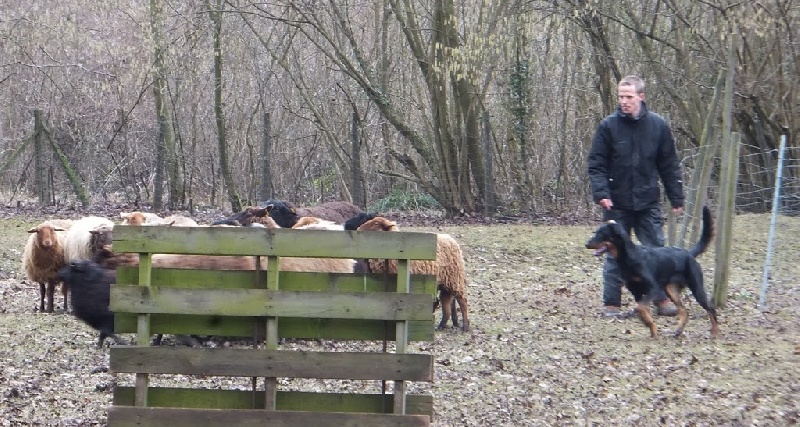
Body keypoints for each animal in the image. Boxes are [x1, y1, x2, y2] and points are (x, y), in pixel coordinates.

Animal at [584, 206, 720, 340]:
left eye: (602, 234)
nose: (586, 244)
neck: (630, 258)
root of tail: (689, 254)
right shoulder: (636, 292)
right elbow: (643, 310)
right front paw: (652, 330)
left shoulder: (654, 288)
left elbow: (640, 307)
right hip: (671, 290)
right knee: (684, 311)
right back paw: (678, 331)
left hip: (696, 288)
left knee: (711, 309)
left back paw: (714, 332)